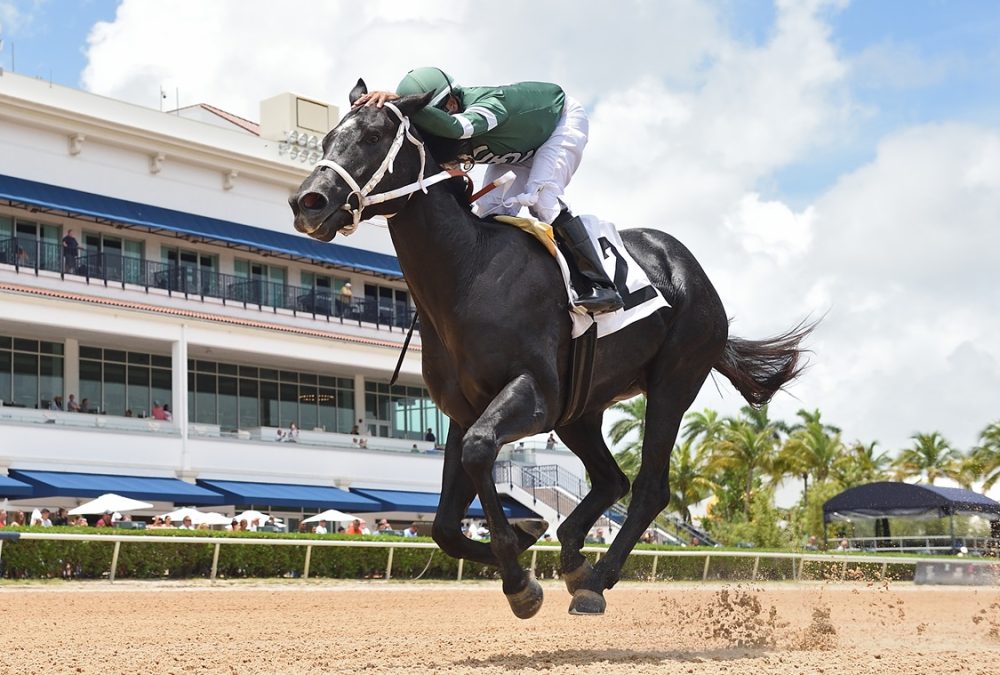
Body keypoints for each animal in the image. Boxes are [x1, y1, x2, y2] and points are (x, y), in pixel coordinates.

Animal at [290, 82, 812, 620]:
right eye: (327, 138)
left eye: (373, 136)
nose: (308, 202)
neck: (468, 272)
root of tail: (691, 270)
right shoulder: (464, 410)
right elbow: (444, 526)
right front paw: (526, 539)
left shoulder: (536, 394)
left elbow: (480, 451)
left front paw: (521, 579)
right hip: (581, 409)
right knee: (611, 481)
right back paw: (574, 558)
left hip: (674, 379)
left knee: (649, 487)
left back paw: (596, 581)